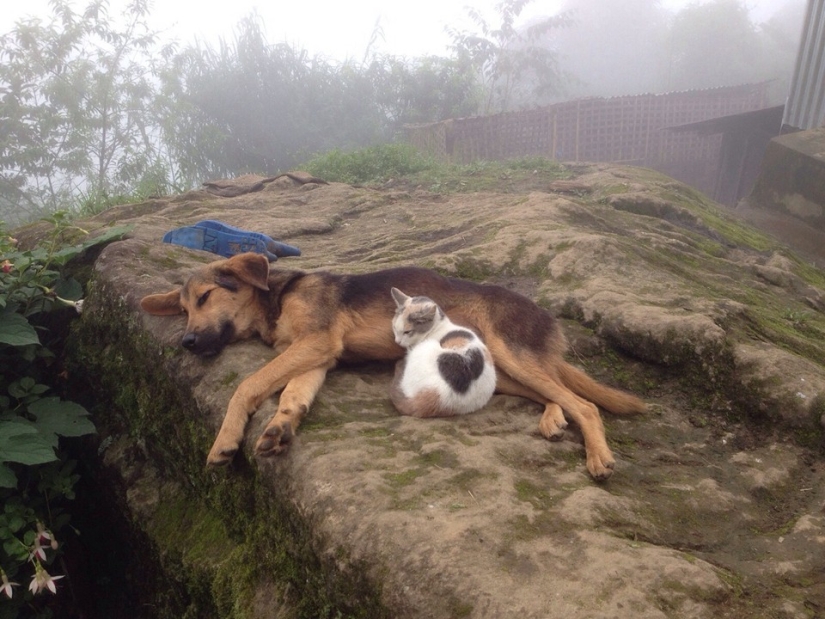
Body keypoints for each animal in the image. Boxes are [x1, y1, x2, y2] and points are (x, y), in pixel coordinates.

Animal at [140, 252, 644, 480]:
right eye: (182, 309)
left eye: (205, 297)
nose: (186, 341)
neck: (275, 299)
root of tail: (545, 315)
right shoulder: (318, 355)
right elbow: (293, 395)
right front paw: (282, 426)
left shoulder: (315, 341)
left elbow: (248, 384)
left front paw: (225, 440)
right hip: (500, 371)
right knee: (555, 393)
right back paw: (552, 419)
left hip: (510, 354)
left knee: (584, 403)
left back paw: (598, 455)